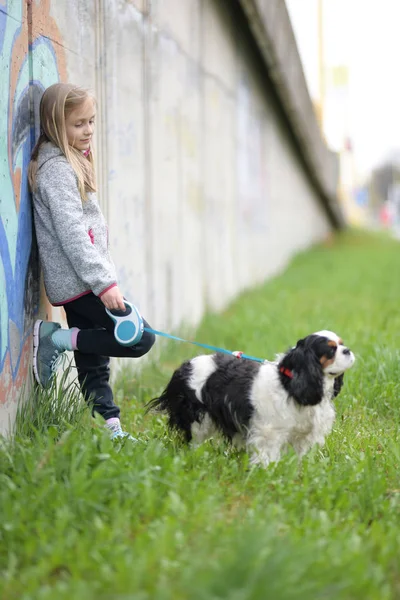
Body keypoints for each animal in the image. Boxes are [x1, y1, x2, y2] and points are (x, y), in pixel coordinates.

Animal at [148, 330, 354, 466]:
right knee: (193, 441)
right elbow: (267, 457)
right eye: (331, 350)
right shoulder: (268, 432)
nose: (348, 350)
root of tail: (183, 367)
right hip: (198, 421)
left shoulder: (299, 435)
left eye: (342, 344)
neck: (290, 383)